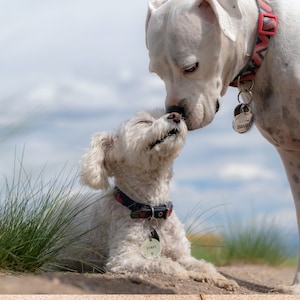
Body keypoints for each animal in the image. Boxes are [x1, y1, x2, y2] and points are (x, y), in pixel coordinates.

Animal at [69, 109, 237, 292]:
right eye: (143, 122)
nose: (176, 115)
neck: (152, 210)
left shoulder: (182, 254)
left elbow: (203, 265)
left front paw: (221, 279)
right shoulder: (122, 259)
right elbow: (165, 264)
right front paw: (190, 274)